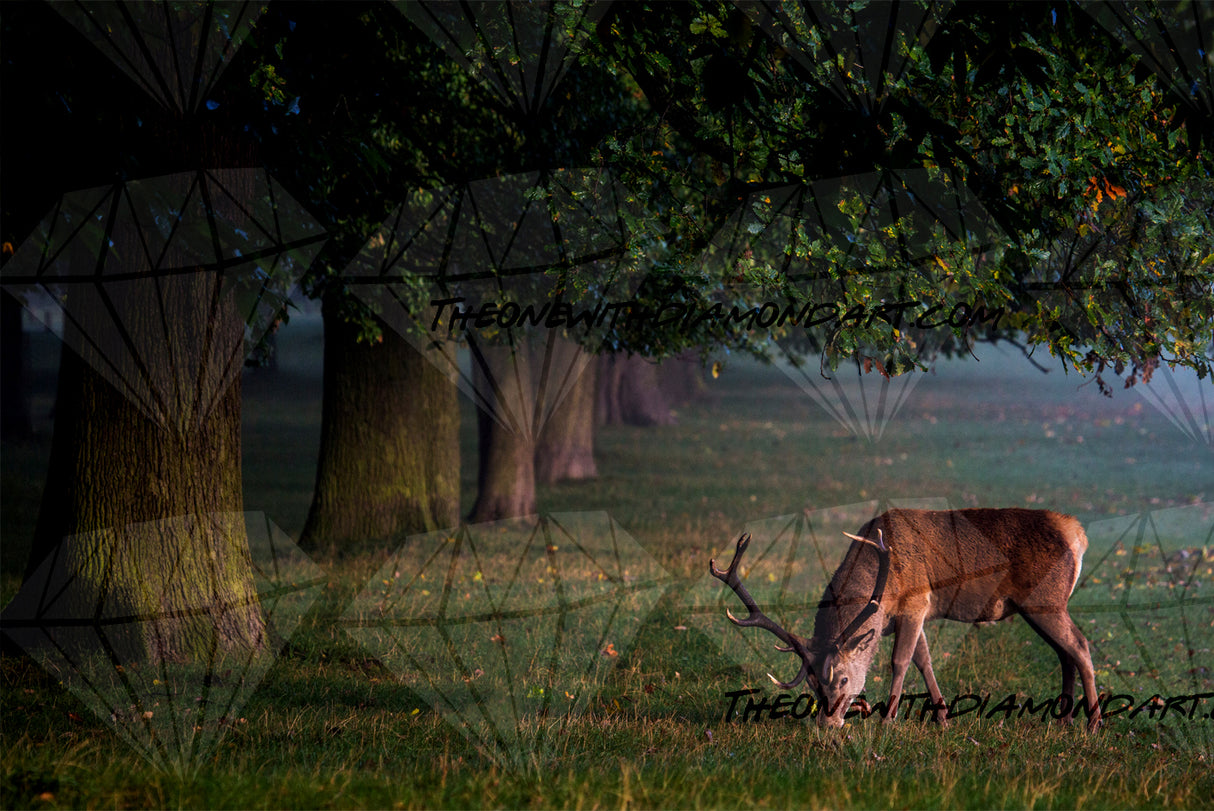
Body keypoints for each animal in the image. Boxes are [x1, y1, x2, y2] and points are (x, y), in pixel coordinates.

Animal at [710, 508, 1102, 731]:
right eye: (811, 683)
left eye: (843, 678)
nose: (827, 723)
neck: (887, 586)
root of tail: (1078, 534)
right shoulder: (909, 615)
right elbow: (923, 660)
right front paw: (943, 719)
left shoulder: (917, 601)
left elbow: (900, 660)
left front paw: (888, 720)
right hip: (1038, 607)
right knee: (1064, 653)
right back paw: (1064, 718)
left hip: (1047, 598)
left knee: (1080, 646)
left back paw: (1093, 723)